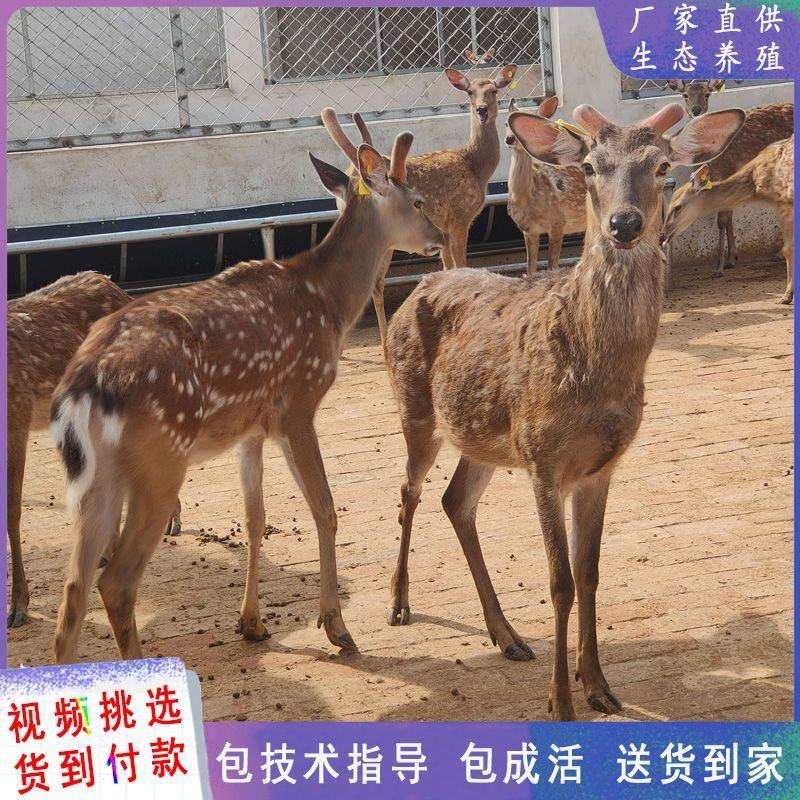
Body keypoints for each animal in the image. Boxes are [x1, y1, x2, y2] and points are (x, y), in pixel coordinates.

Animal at [49, 132, 443, 664]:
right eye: (418, 201)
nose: (438, 237)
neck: (330, 303)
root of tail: (85, 384)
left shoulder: (251, 430)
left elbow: (256, 518)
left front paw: (251, 623)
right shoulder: (299, 403)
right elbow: (325, 508)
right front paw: (335, 626)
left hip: (97, 475)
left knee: (72, 593)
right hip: (160, 459)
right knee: (115, 582)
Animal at [321, 51, 517, 345]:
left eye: (493, 90)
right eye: (470, 91)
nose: (482, 110)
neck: (476, 167)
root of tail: (353, 173)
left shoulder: (443, 226)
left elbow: (448, 268)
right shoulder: (459, 218)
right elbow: (461, 265)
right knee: (373, 280)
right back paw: (382, 338)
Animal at [505, 96, 587, 273]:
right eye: (505, 124)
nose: (509, 139)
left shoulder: (558, 223)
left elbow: (552, 266)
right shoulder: (528, 230)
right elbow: (530, 269)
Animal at [667, 88, 792, 277]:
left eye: (707, 94)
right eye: (685, 94)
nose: (696, 110)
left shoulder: (725, 173)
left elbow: (722, 220)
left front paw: (719, 267)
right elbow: (728, 216)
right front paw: (731, 258)